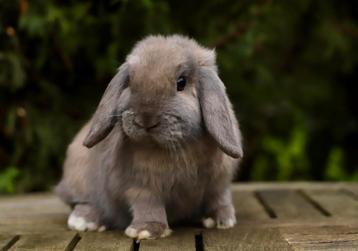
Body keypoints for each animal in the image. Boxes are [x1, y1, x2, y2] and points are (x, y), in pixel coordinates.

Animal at [55, 34, 243, 240]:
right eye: (130, 82)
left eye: (181, 83)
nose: (146, 119)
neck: (178, 147)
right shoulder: (140, 186)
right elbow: (148, 205)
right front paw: (146, 230)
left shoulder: (219, 182)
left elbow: (219, 198)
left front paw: (222, 220)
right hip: (81, 181)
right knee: (83, 202)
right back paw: (84, 221)